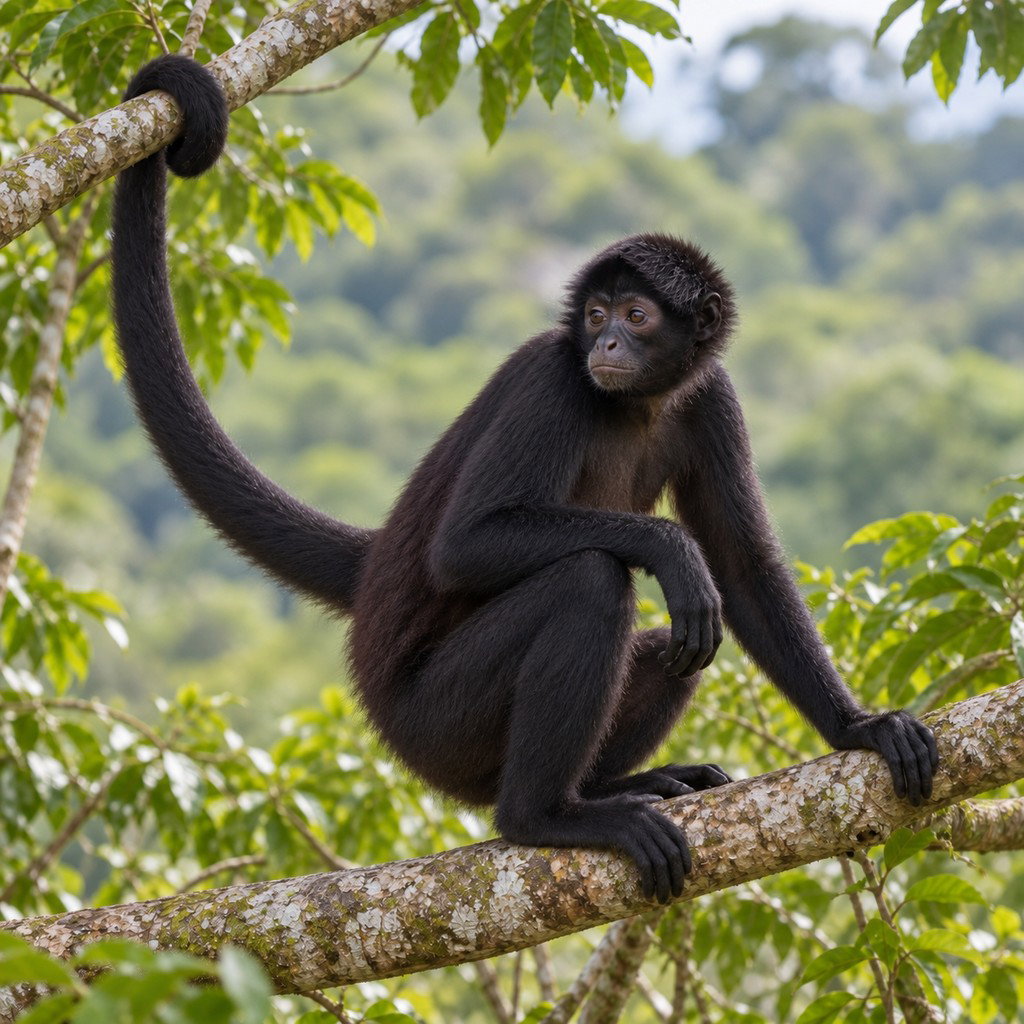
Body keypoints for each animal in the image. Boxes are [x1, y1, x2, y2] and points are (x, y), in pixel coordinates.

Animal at [111, 55, 937, 904]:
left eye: (638, 316)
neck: (635, 405)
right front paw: (670, 549)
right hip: (431, 723)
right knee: (588, 582)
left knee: (673, 642)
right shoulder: (554, 377)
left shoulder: (712, 396)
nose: (606, 342)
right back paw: (546, 815)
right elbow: (472, 546)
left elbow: (741, 569)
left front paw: (858, 728)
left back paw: (606, 788)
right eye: (598, 313)